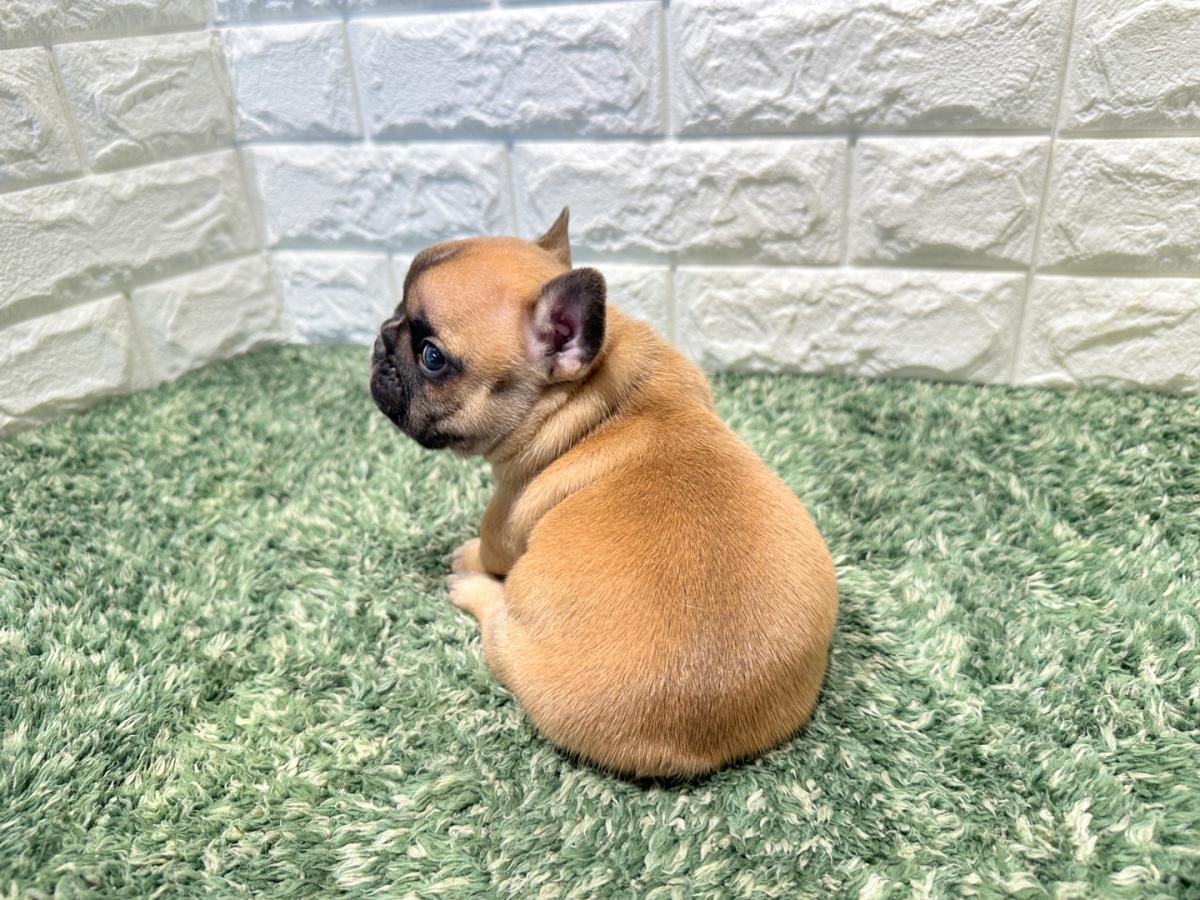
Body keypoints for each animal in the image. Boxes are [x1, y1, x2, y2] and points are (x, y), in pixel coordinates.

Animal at [370, 209, 838, 778]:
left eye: (432, 357)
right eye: (397, 314)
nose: (382, 338)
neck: (593, 398)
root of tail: (705, 741)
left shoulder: (504, 515)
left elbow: (489, 546)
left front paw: (468, 556)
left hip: (515, 647)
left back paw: (470, 588)